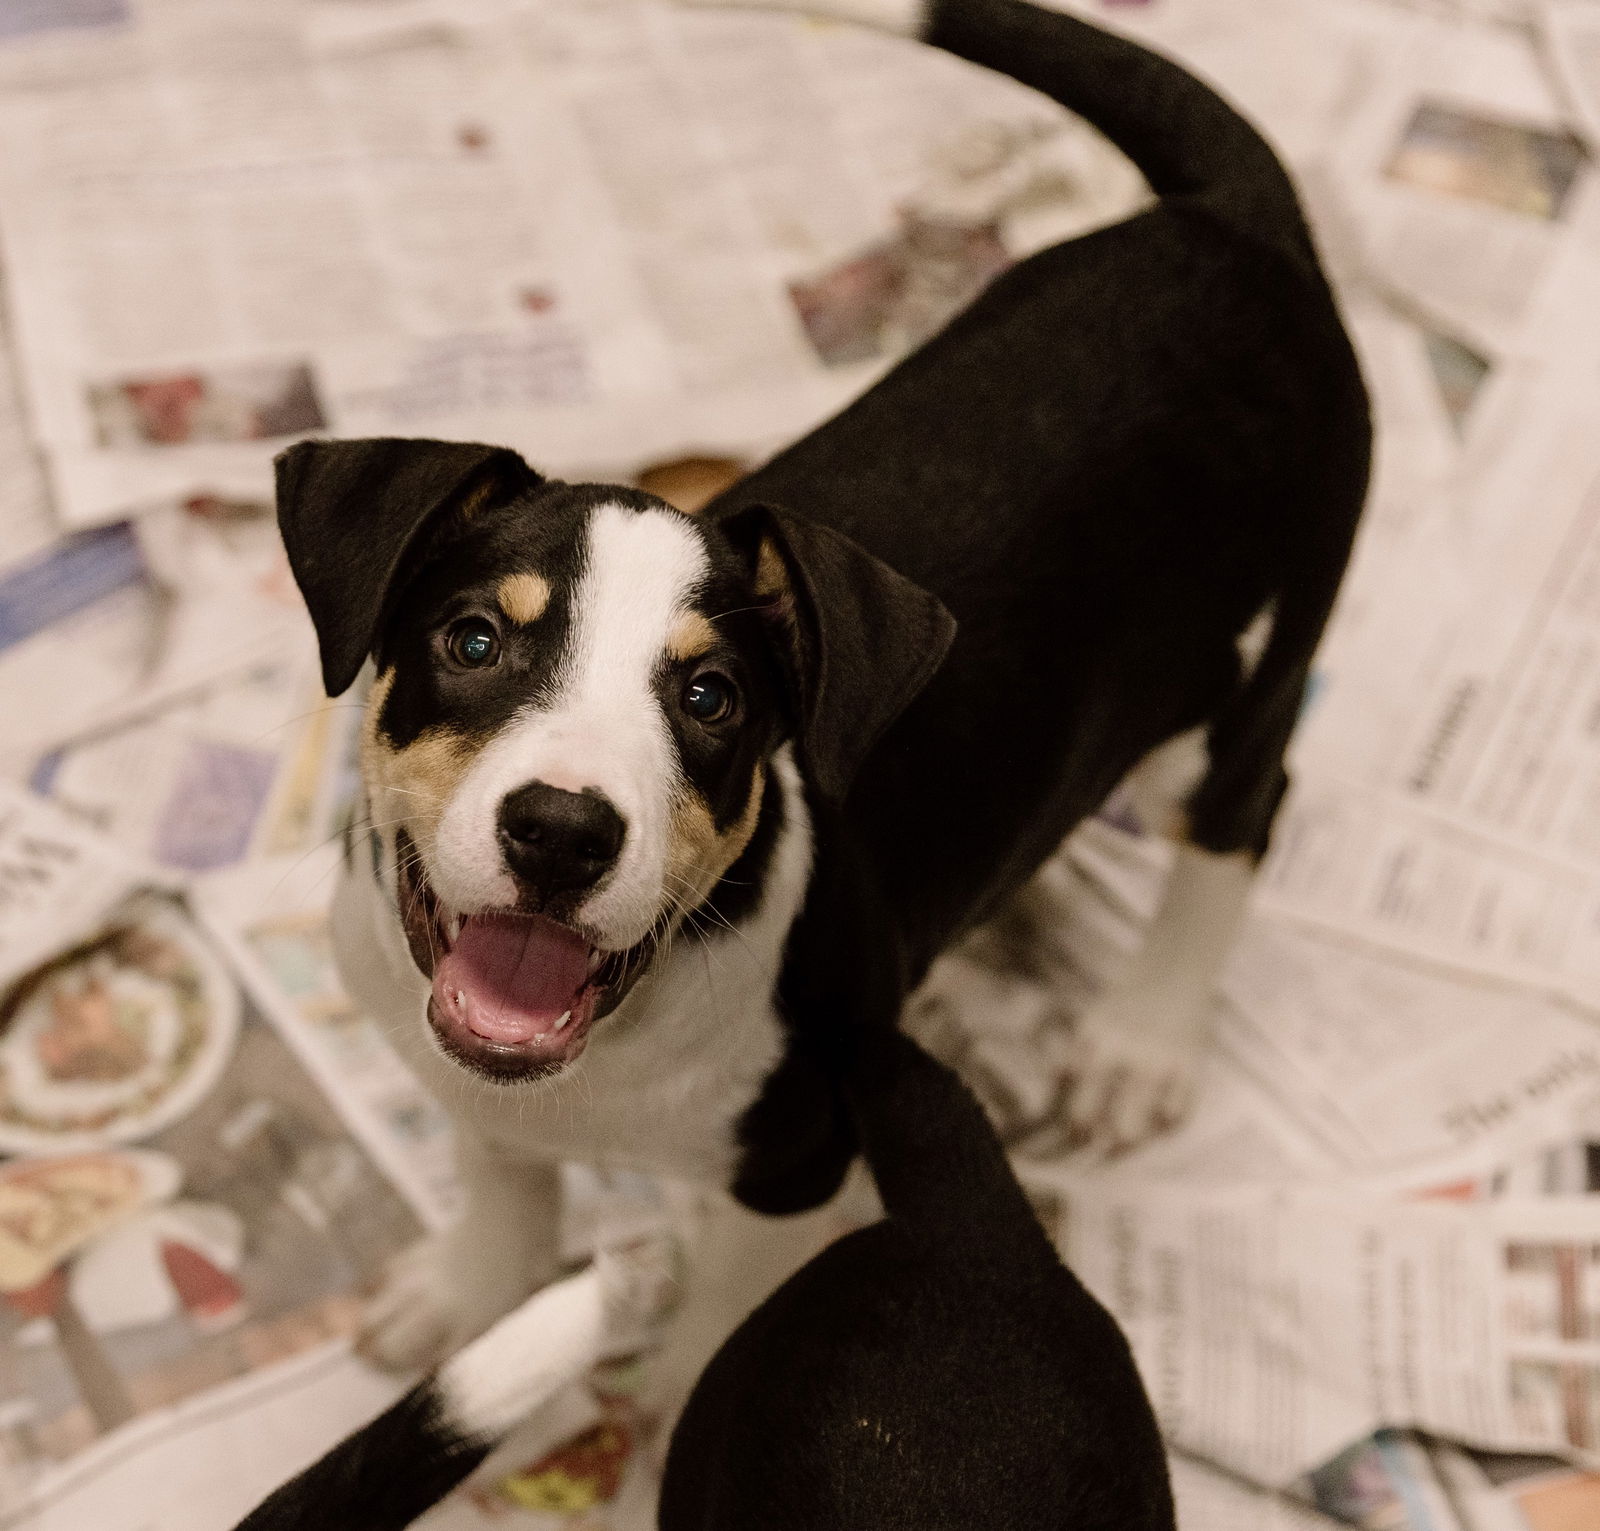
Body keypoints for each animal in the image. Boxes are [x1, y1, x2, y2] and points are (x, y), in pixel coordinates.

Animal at [272, 0, 1363, 1407]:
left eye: (711, 697)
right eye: (472, 640)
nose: (561, 834)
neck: (612, 1043)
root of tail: (1236, 218)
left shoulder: (792, 1168)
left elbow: (709, 1340)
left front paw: (658, 1423)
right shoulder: (470, 1077)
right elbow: (502, 1178)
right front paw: (469, 1299)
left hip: (1252, 657)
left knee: (1246, 804)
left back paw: (1140, 1042)